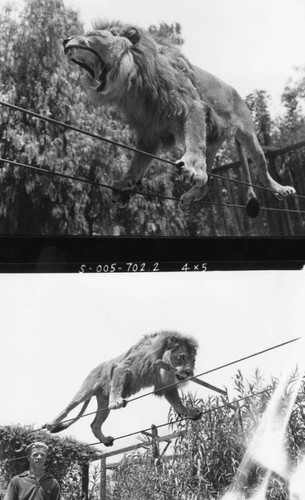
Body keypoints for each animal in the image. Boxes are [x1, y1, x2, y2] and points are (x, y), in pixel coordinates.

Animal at [42, 332, 200, 446]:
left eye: (193, 361)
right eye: (182, 357)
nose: (189, 373)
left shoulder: (166, 386)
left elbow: (177, 403)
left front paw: (190, 412)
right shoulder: (124, 366)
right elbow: (118, 383)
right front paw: (117, 402)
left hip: (103, 402)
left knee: (95, 424)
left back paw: (105, 440)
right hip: (86, 390)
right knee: (67, 409)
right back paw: (51, 423)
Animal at [62, 20, 294, 216]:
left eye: (91, 35)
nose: (65, 40)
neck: (134, 81)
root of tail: (234, 90)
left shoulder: (190, 104)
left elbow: (193, 138)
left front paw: (191, 166)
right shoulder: (148, 132)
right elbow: (138, 162)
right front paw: (126, 183)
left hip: (249, 135)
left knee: (262, 167)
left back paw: (280, 189)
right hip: (212, 143)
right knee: (208, 181)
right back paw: (193, 193)